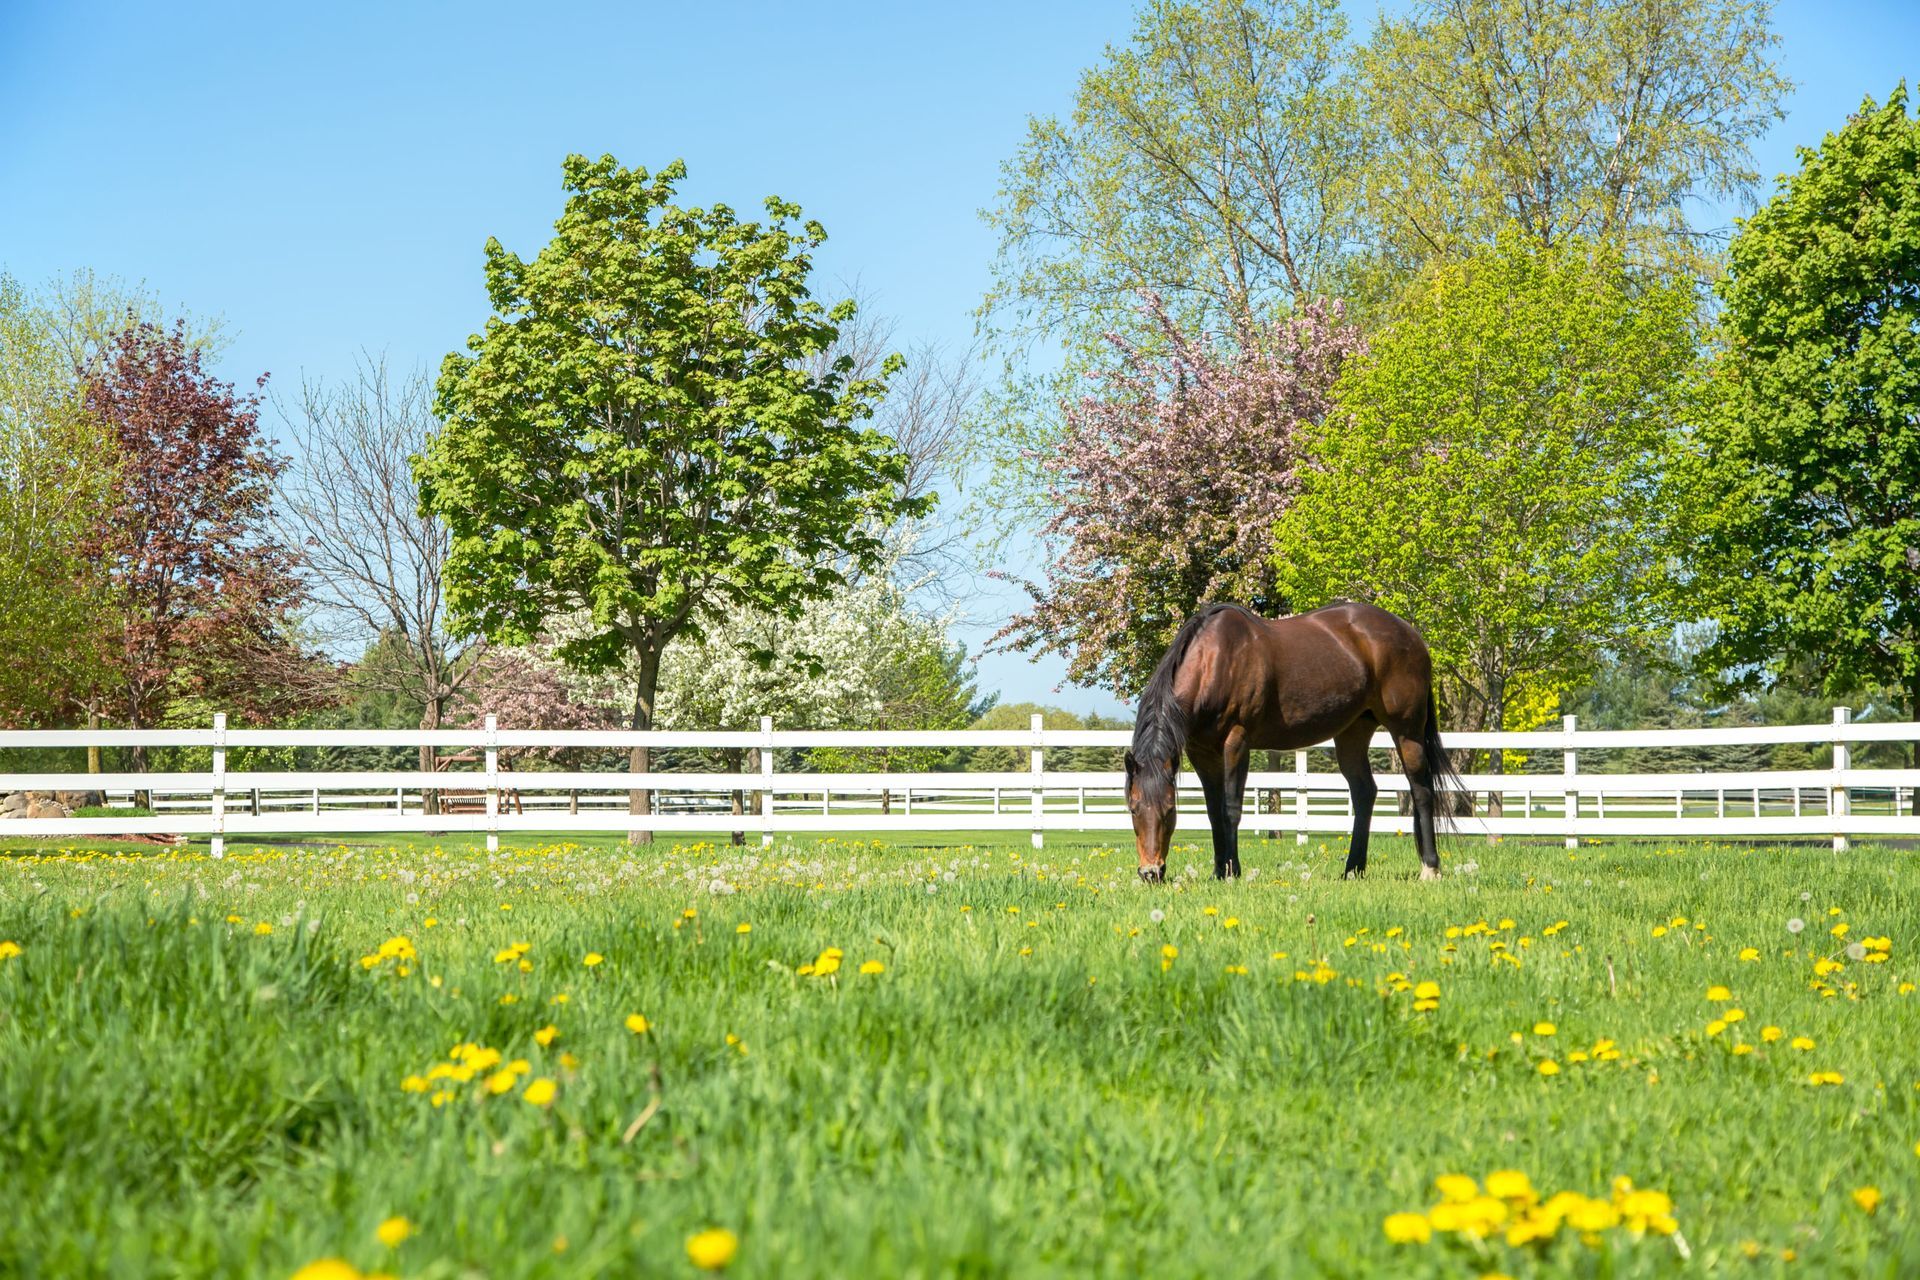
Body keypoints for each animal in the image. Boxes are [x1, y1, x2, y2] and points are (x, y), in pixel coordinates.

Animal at [1124, 601, 1461, 883]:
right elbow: (1212, 811)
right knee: (1365, 792)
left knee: (1421, 790)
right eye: (1133, 808)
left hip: (1407, 730)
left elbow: (1230, 808)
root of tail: (1410, 633)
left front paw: (1233, 872)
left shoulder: (1237, 742)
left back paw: (1430, 868)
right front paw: (1219, 871)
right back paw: (1352, 869)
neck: (1215, 662)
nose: (1151, 872)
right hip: (1353, 732)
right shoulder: (1201, 752)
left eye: (1170, 809)